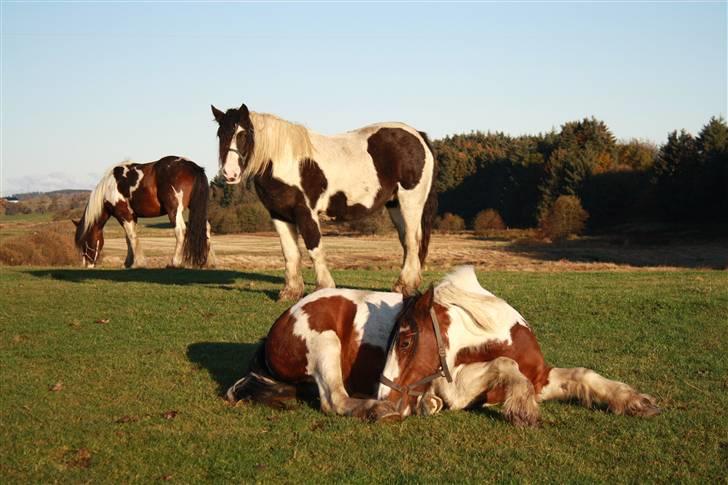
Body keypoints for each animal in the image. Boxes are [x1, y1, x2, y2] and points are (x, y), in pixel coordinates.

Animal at [73, 156, 212, 266]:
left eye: (84, 242)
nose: (88, 264)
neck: (110, 187)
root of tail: (193, 167)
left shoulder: (124, 214)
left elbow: (132, 237)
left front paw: (138, 263)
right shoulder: (131, 216)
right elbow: (128, 238)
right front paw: (128, 263)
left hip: (174, 211)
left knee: (180, 231)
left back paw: (175, 262)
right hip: (196, 209)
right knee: (206, 228)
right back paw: (207, 262)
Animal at [210, 102, 438, 298]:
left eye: (243, 134)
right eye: (220, 134)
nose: (230, 174)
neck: (285, 161)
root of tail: (417, 135)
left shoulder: (305, 211)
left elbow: (314, 247)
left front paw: (323, 287)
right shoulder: (279, 215)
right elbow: (290, 252)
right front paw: (290, 292)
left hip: (410, 202)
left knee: (412, 241)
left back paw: (404, 286)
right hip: (394, 204)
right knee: (407, 243)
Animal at [228, 266, 660, 426]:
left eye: (404, 339)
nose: (386, 394)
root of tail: (278, 324)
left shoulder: (543, 376)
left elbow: (586, 376)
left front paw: (634, 401)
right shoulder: (456, 387)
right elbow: (504, 369)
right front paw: (521, 408)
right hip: (325, 344)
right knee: (334, 399)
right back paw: (379, 410)